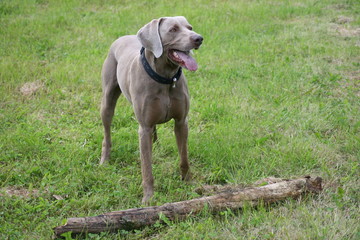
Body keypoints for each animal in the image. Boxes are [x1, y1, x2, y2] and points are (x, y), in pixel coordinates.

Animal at [100, 16, 204, 204]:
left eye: (190, 27)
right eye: (173, 29)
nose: (199, 38)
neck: (166, 79)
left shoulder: (181, 122)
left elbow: (184, 157)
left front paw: (188, 182)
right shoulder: (144, 128)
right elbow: (146, 167)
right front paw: (148, 197)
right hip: (107, 100)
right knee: (107, 131)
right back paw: (105, 159)